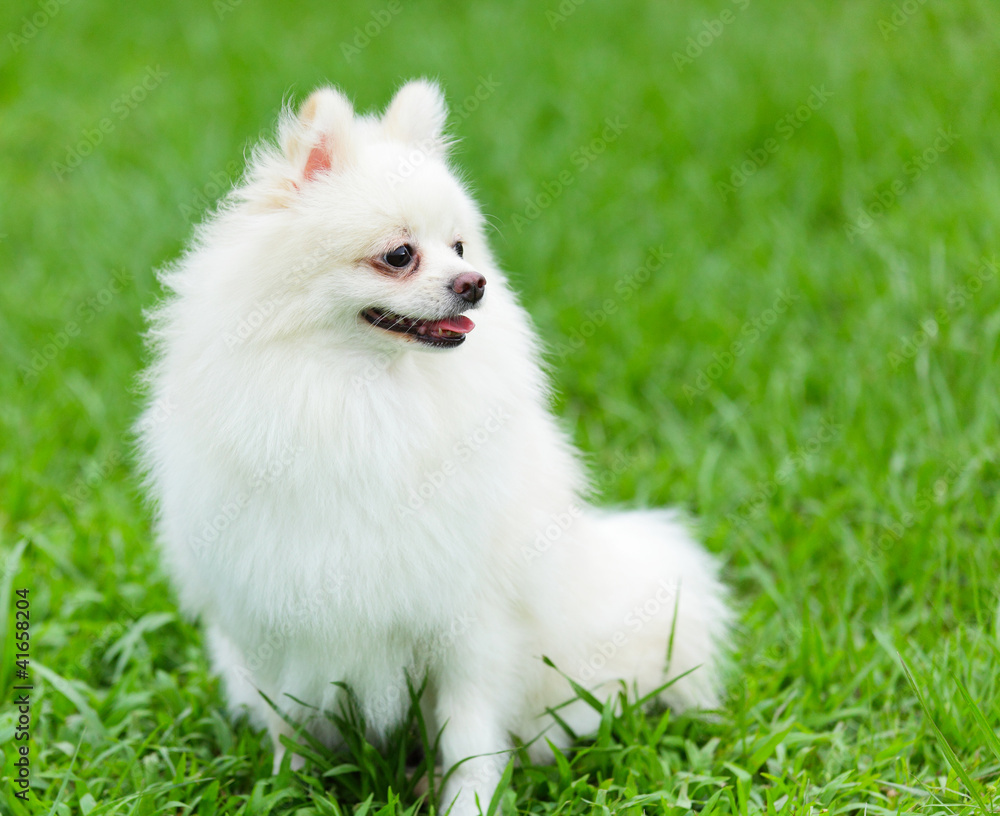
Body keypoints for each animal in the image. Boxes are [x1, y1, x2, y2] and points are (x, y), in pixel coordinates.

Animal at [137, 81, 732, 808]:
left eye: (460, 247)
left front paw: (468, 801)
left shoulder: (469, 623)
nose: (474, 284)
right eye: (400, 254)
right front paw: (288, 790)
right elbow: (287, 725)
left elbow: (470, 733)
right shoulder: (272, 618)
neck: (369, 394)